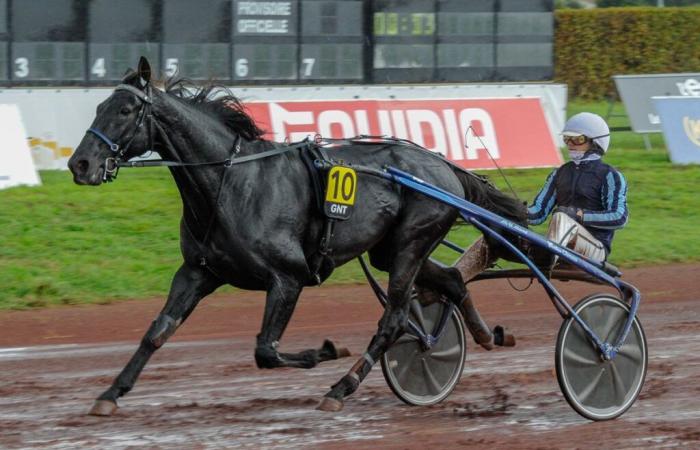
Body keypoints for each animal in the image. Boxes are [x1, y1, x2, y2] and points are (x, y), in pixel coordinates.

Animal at [68, 59, 524, 414]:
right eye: (100, 106)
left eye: (126, 109)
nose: (80, 164)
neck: (232, 183)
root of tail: (445, 167)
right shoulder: (198, 272)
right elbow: (157, 331)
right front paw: (111, 393)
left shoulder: (288, 278)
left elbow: (265, 351)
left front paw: (328, 351)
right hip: (391, 250)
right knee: (451, 280)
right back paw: (484, 335)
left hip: (411, 244)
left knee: (394, 320)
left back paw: (342, 387)